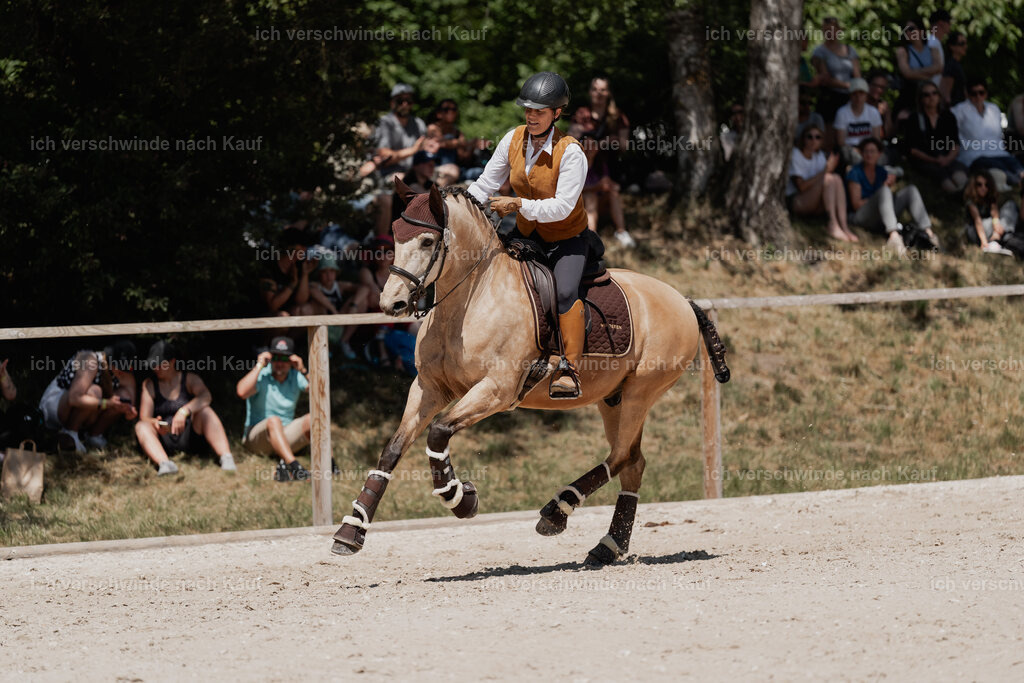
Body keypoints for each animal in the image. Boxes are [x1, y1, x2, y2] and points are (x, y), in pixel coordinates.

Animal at [331, 180, 729, 565]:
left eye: (428, 241)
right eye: (396, 235)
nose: (391, 303)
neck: (470, 301)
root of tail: (683, 300)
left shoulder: (496, 390)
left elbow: (439, 432)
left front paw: (460, 498)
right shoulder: (429, 387)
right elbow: (393, 449)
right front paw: (351, 530)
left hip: (640, 393)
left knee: (620, 457)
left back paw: (558, 510)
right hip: (612, 399)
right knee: (632, 462)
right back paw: (607, 546)